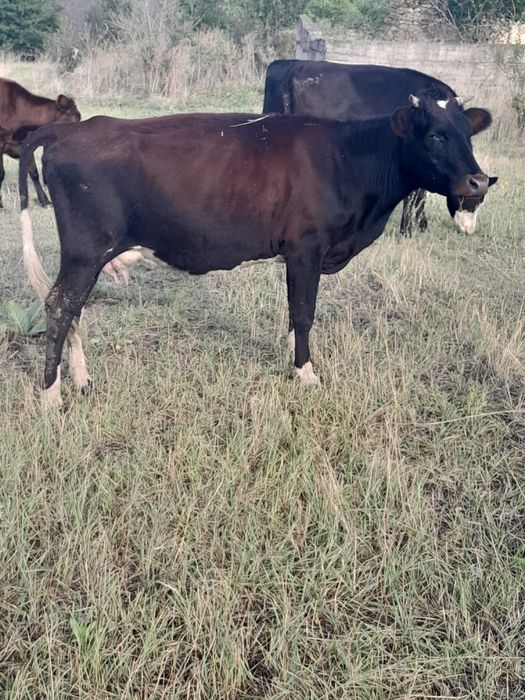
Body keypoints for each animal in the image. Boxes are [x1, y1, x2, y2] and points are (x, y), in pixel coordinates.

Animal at [18, 97, 491, 407]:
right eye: (435, 135)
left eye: (468, 135)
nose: (480, 181)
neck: (348, 156)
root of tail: (72, 128)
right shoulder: (307, 247)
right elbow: (304, 312)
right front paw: (306, 373)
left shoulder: (300, 255)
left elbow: (292, 312)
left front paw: (291, 359)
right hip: (85, 252)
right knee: (59, 307)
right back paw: (51, 396)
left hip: (88, 258)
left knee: (73, 309)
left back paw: (81, 379)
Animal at [263, 60, 497, 236]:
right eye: (466, 196)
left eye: (482, 197)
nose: (468, 229)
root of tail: (293, 65)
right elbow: (414, 194)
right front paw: (407, 230)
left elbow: (421, 194)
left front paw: (422, 225)